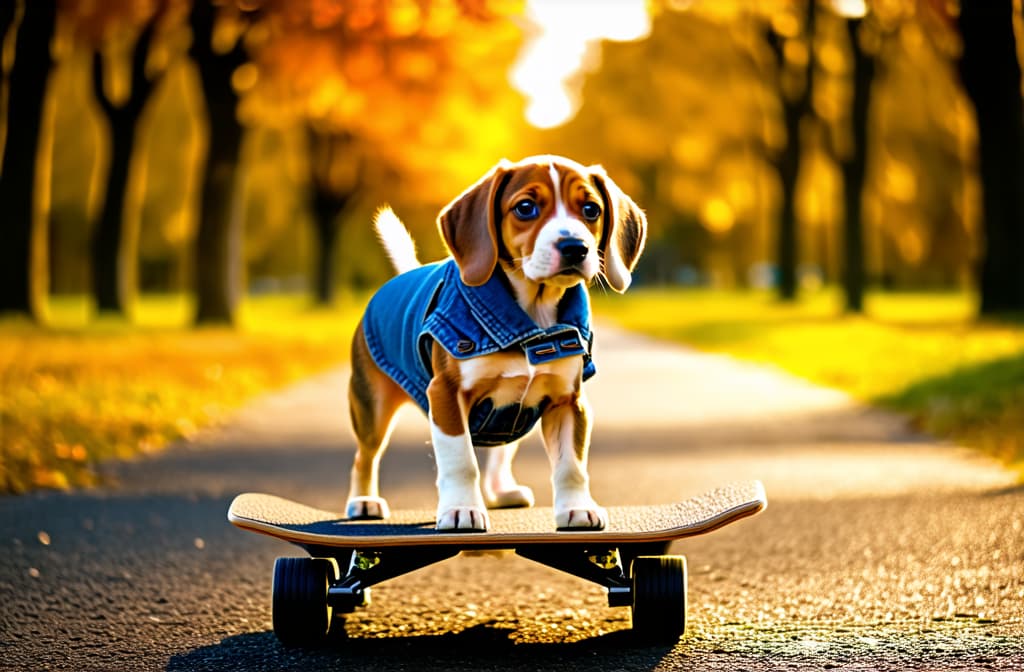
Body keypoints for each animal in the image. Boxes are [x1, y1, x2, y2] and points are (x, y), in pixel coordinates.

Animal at [344, 153, 647, 528]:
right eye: (526, 208)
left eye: (591, 209)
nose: (575, 248)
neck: (532, 321)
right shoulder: (445, 395)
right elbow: (461, 462)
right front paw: (461, 509)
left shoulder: (568, 401)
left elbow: (570, 466)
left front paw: (577, 508)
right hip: (372, 405)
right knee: (365, 455)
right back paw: (363, 501)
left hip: (513, 411)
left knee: (499, 452)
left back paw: (500, 493)